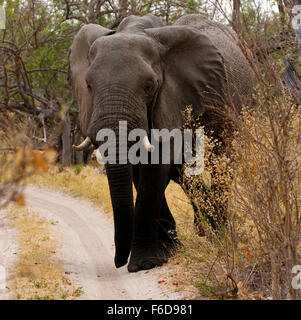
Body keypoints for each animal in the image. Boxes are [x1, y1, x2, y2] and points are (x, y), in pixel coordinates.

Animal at [68, 13, 253, 272]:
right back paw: (201, 228)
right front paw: (169, 251)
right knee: (184, 174)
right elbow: (142, 170)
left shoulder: (172, 96)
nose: (118, 262)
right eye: (88, 86)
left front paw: (145, 263)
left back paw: (218, 231)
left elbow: (156, 168)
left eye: (149, 86)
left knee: (222, 162)